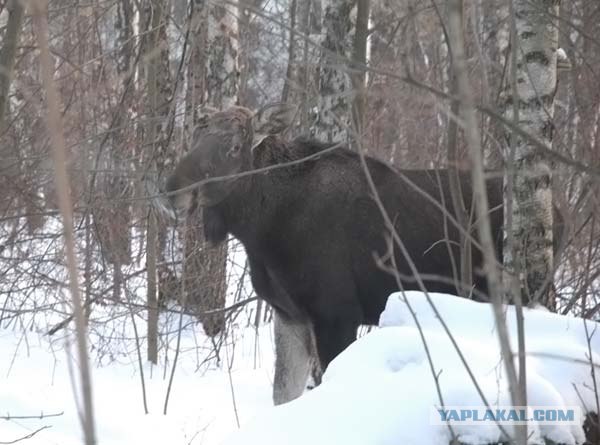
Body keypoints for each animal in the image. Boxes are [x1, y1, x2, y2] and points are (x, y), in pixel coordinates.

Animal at [163, 103, 564, 402]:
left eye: (233, 148)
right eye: (194, 136)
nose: (172, 191)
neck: (260, 230)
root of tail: (560, 216)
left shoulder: (337, 314)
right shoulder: (288, 313)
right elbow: (284, 393)